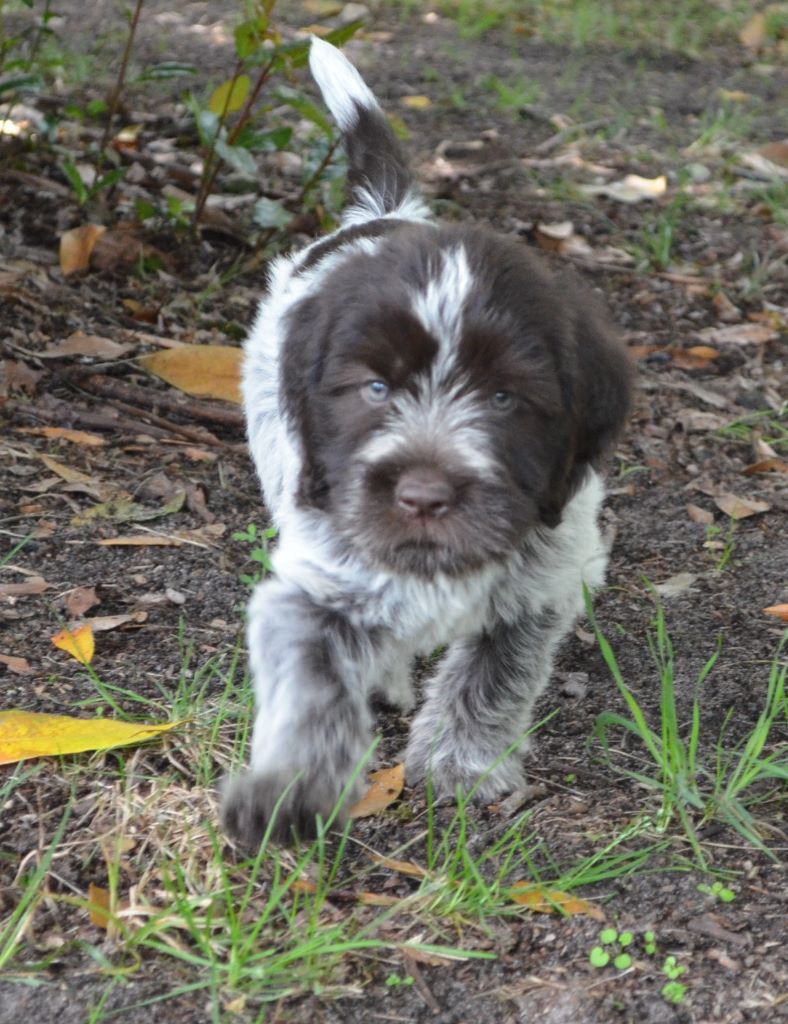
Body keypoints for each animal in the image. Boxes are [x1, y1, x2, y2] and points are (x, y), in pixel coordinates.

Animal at [221, 37, 632, 848]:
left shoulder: (540, 586)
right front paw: (291, 790)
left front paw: (462, 764)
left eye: (505, 398)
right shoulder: (316, 585)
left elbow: (495, 675)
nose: (423, 495)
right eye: (376, 389)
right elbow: (313, 687)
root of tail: (388, 212)